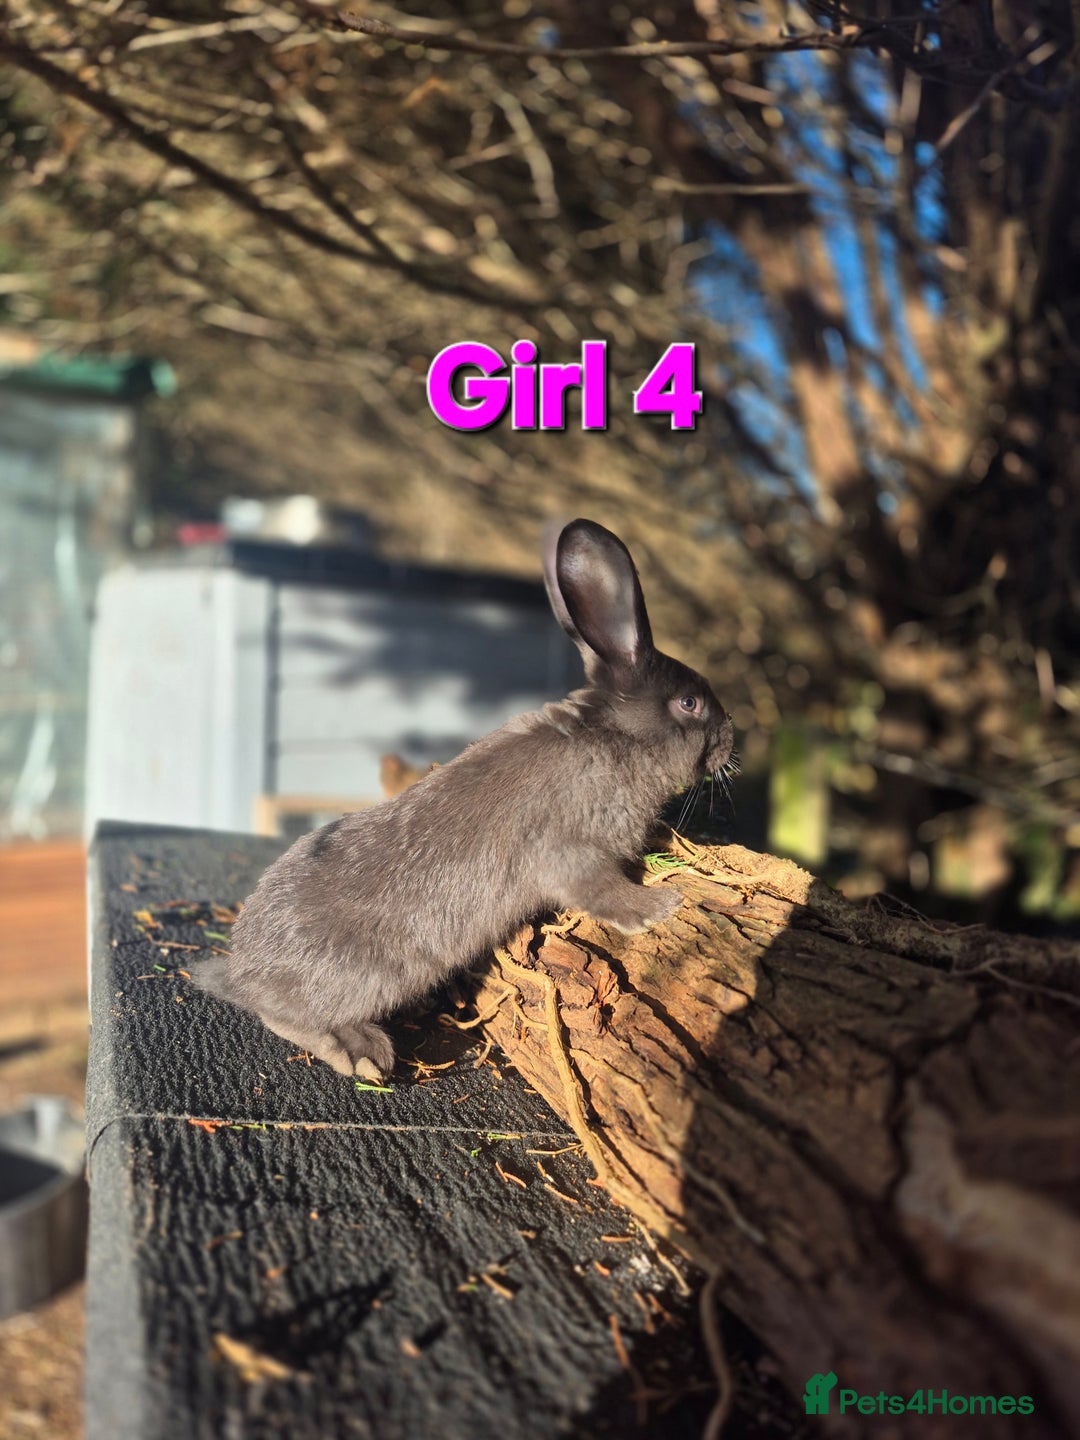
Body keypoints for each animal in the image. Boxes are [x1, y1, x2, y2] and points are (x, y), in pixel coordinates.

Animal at [193, 519, 734, 1080]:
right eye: (689, 703)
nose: (730, 738)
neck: (616, 738)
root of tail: (244, 970)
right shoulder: (569, 850)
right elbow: (600, 889)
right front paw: (660, 907)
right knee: (282, 1015)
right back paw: (363, 1055)